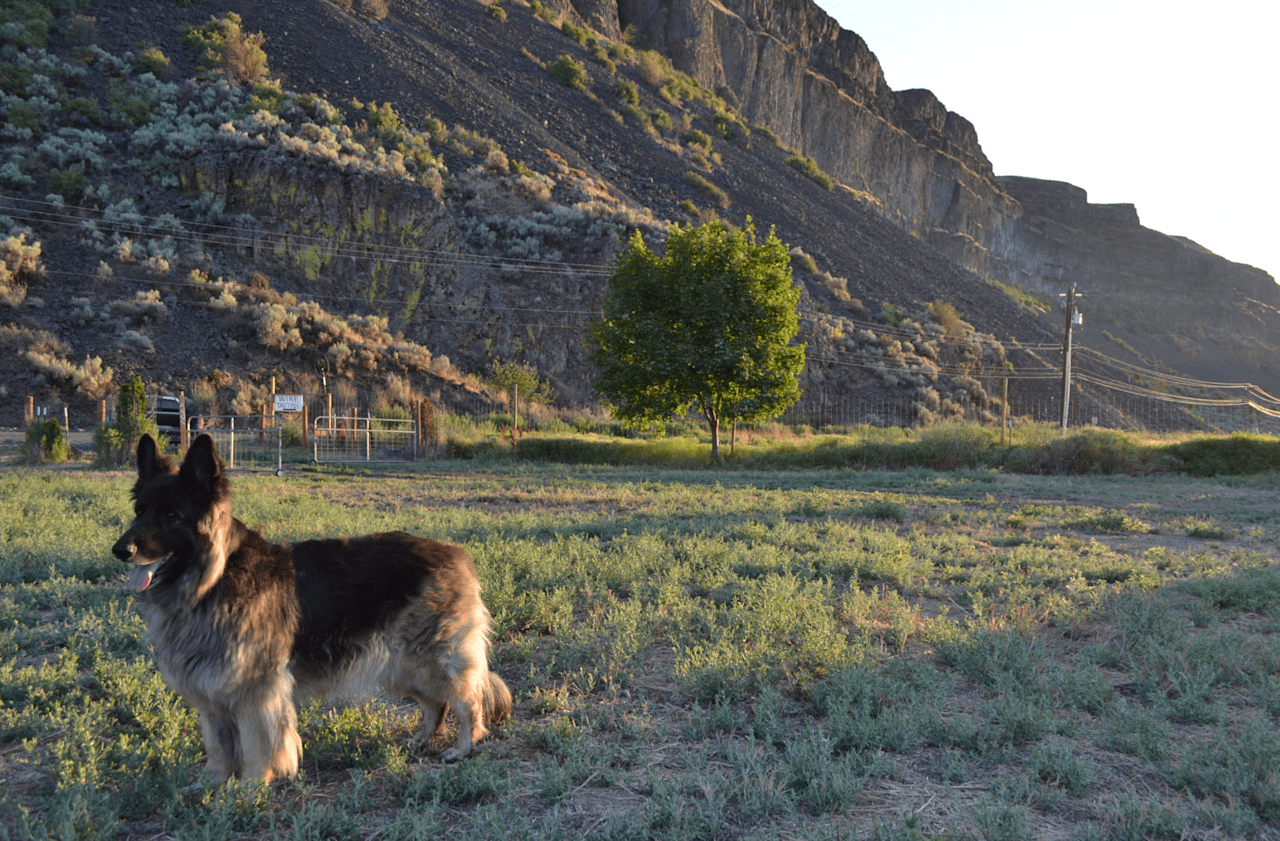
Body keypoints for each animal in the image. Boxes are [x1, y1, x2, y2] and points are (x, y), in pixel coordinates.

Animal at [111, 432, 509, 778]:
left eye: (171, 516)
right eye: (139, 511)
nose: (120, 550)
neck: (214, 579)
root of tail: (454, 552)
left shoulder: (255, 693)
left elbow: (257, 747)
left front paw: (249, 789)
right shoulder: (212, 694)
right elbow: (219, 748)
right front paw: (213, 786)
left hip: (430, 660)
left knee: (467, 700)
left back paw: (463, 747)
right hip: (400, 665)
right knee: (434, 703)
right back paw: (424, 739)